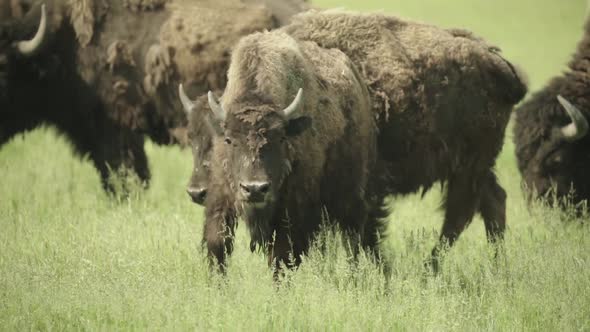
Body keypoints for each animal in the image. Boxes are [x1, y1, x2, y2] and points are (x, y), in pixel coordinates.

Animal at [180, 29, 384, 272]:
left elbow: (281, 256)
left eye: (281, 138)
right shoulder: (220, 200)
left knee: (353, 238)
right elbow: (217, 245)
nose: (255, 189)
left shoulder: (291, 211)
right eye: (228, 140)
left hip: (350, 194)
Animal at [280, 11, 528, 270]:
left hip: (469, 166)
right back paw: (496, 264)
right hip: (476, 167)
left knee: (459, 214)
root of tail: (496, 62)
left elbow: (363, 235)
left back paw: (430, 268)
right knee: (492, 201)